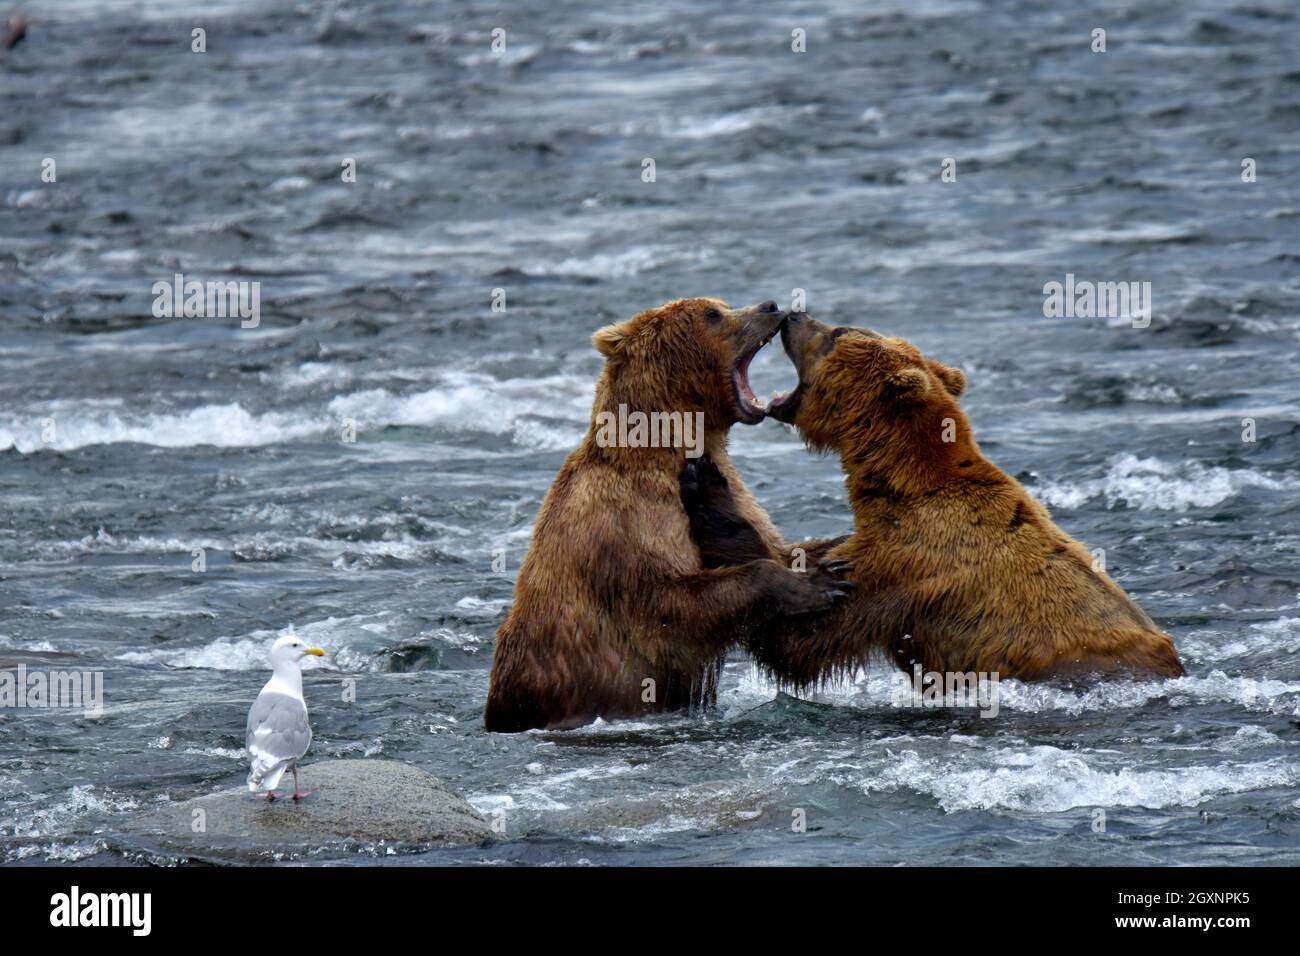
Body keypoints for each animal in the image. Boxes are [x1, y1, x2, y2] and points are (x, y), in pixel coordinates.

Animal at [483, 299, 847, 733]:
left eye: (724, 305)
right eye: (713, 314)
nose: (770, 305)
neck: (668, 451)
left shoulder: (734, 490)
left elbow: (773, 543)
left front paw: (835, 551)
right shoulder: (626, 523)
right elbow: (668, 606)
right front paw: (817, 582)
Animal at [681, 314, 1190, 686]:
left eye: (839, 331)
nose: (793, 315)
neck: (905, 482)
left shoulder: (910, 561)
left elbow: (800, 638)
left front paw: (705, 486)